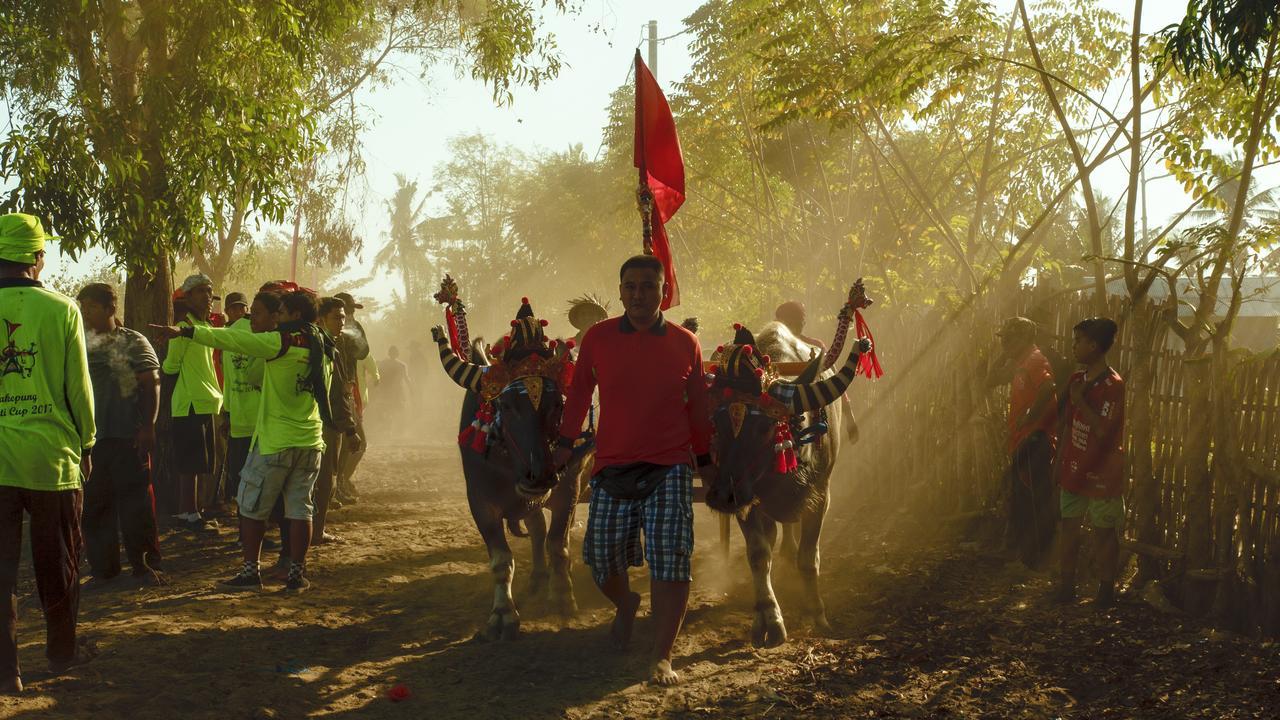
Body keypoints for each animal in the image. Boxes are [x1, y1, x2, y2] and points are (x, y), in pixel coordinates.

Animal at [701, 320, 870, 645]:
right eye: (716, 422)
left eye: (765, 427)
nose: (721, 495)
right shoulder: (748, 500)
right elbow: (758, 555)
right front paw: (769, 619)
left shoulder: (820, 495)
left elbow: (809, 557)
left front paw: (816, 613)